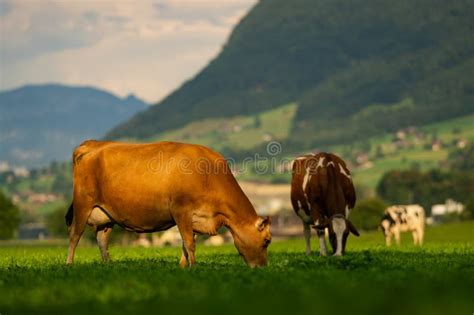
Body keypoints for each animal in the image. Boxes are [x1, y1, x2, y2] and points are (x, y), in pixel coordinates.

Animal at [65, 142, 270, 268]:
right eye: (267, 241)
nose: (262, 268)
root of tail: (94, 143)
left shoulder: (194, 218)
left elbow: (186, 244)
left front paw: (183, 267)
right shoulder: (181, 211)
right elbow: (189, 243)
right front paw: (194, 267)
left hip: (106, 214)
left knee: (102, 240)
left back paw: (108, 265)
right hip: (83, 203)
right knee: (75, 234)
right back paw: (69, 264)